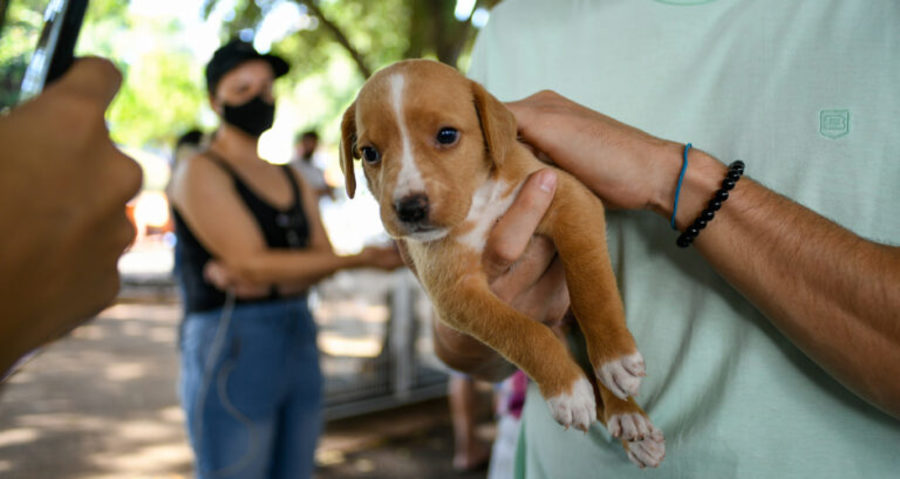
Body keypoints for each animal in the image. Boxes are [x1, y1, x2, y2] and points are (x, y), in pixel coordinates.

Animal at [342, 60, 664, 468]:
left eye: (447, 135)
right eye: (369, 153)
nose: (409, 208)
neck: (480, 199)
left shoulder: (570, 198)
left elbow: (591, 285)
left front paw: (615, 356)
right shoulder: (455, 292)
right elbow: (523, 331)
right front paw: (567, 390)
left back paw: (627, 411)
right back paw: (627, 423)